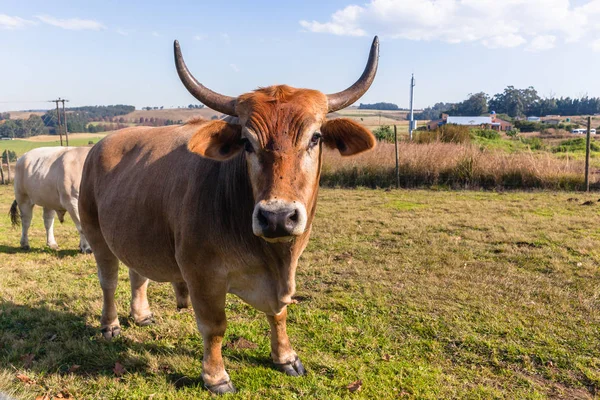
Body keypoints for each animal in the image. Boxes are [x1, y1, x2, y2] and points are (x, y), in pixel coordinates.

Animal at [79, 36, 380, 392]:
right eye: (246, 143)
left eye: (315, 138)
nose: (277, 217)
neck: (272, 258)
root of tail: (102, 144)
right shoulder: (202, 274)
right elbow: (215, 326)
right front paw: (216, 376)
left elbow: (279, 314)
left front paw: (286, 357)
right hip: (96, 234)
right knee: (108, 280)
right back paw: (110, 324)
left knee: (138, 273)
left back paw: (141, 315)